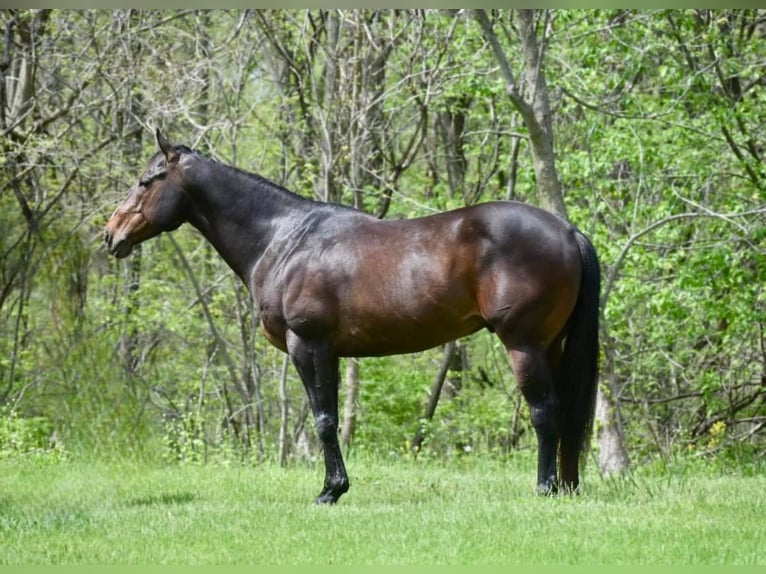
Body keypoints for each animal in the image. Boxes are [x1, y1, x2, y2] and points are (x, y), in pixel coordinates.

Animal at [105, 129, 604, 504]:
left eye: (147, 180)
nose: (111, 235)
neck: (284, 239)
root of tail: (567, 230)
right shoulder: (330, 352)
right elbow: (328, 417)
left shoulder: (307, 344)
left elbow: (324, 419)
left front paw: (331, 491)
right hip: (549, 345)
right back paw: (565, 486)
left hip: (523, 344)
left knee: (544, 410)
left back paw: (544, 488)